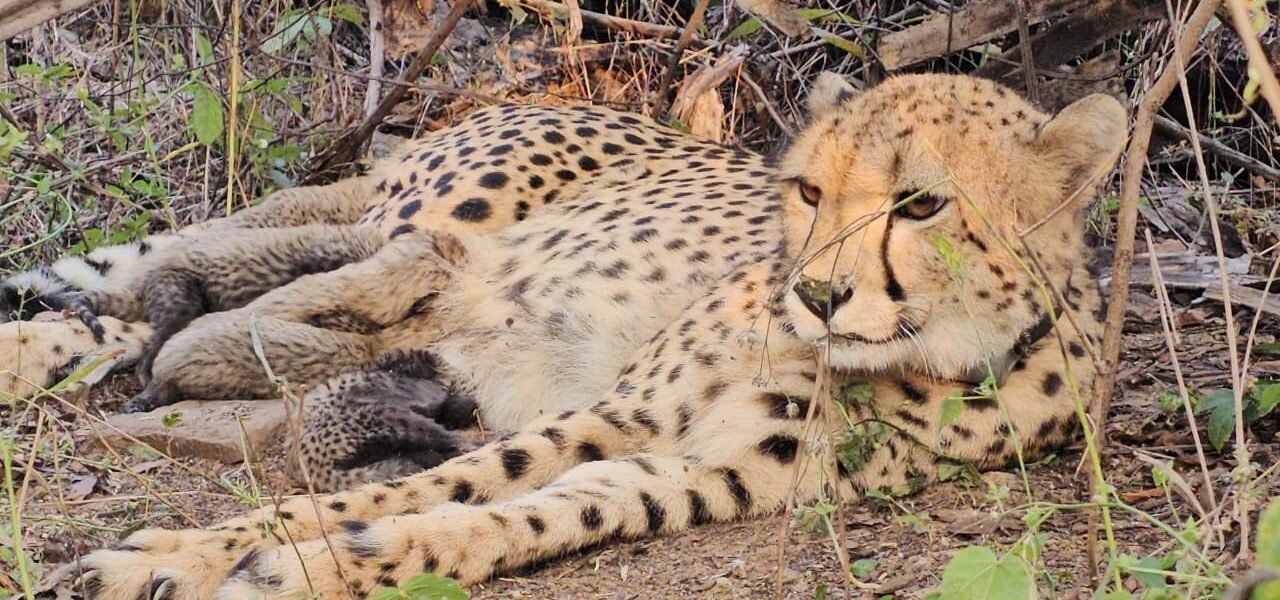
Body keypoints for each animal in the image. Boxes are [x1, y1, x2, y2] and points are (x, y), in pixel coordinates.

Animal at [49, 72, 1126, 599]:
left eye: (921, 204)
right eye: (809, 191)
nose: (816, 294)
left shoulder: (703, 472)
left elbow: (509, 517)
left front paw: (318, 567)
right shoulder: (618, 414)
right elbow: (431, 484)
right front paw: (174, 557)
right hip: (440, 215)